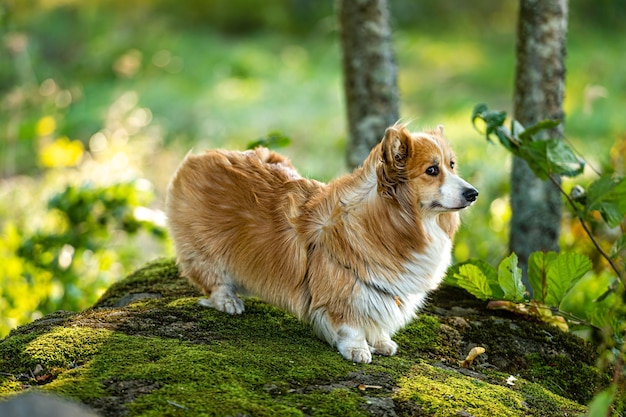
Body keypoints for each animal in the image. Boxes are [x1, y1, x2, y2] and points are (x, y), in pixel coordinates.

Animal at [163, 123, 476, 360]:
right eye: (432, 170)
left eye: (451, 165)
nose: (473, 193)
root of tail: (199, 157)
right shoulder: (345, 291)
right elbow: (351, 325)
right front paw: (358, 350)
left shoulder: (380, 290)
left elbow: (377, 316)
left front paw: (381, 342)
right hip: (205, 251)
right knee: (212, 279)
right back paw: (228, 301)